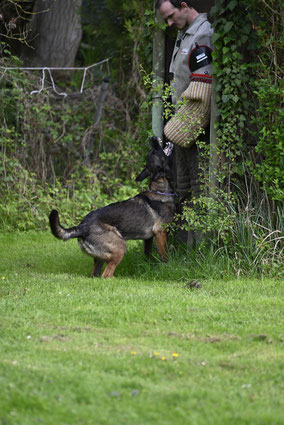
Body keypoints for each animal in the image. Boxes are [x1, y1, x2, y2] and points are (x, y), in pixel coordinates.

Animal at [50, 134, 176, 276]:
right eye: (155, 151)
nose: (153, 137)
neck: (160, 189)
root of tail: (81, 227)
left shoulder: (148, 239)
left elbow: (148, 254)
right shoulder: (160, 232)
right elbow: (164, 255)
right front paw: (167, 265)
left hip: (101, 258)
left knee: (95, 275)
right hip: (120, 246)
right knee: (106, 275)